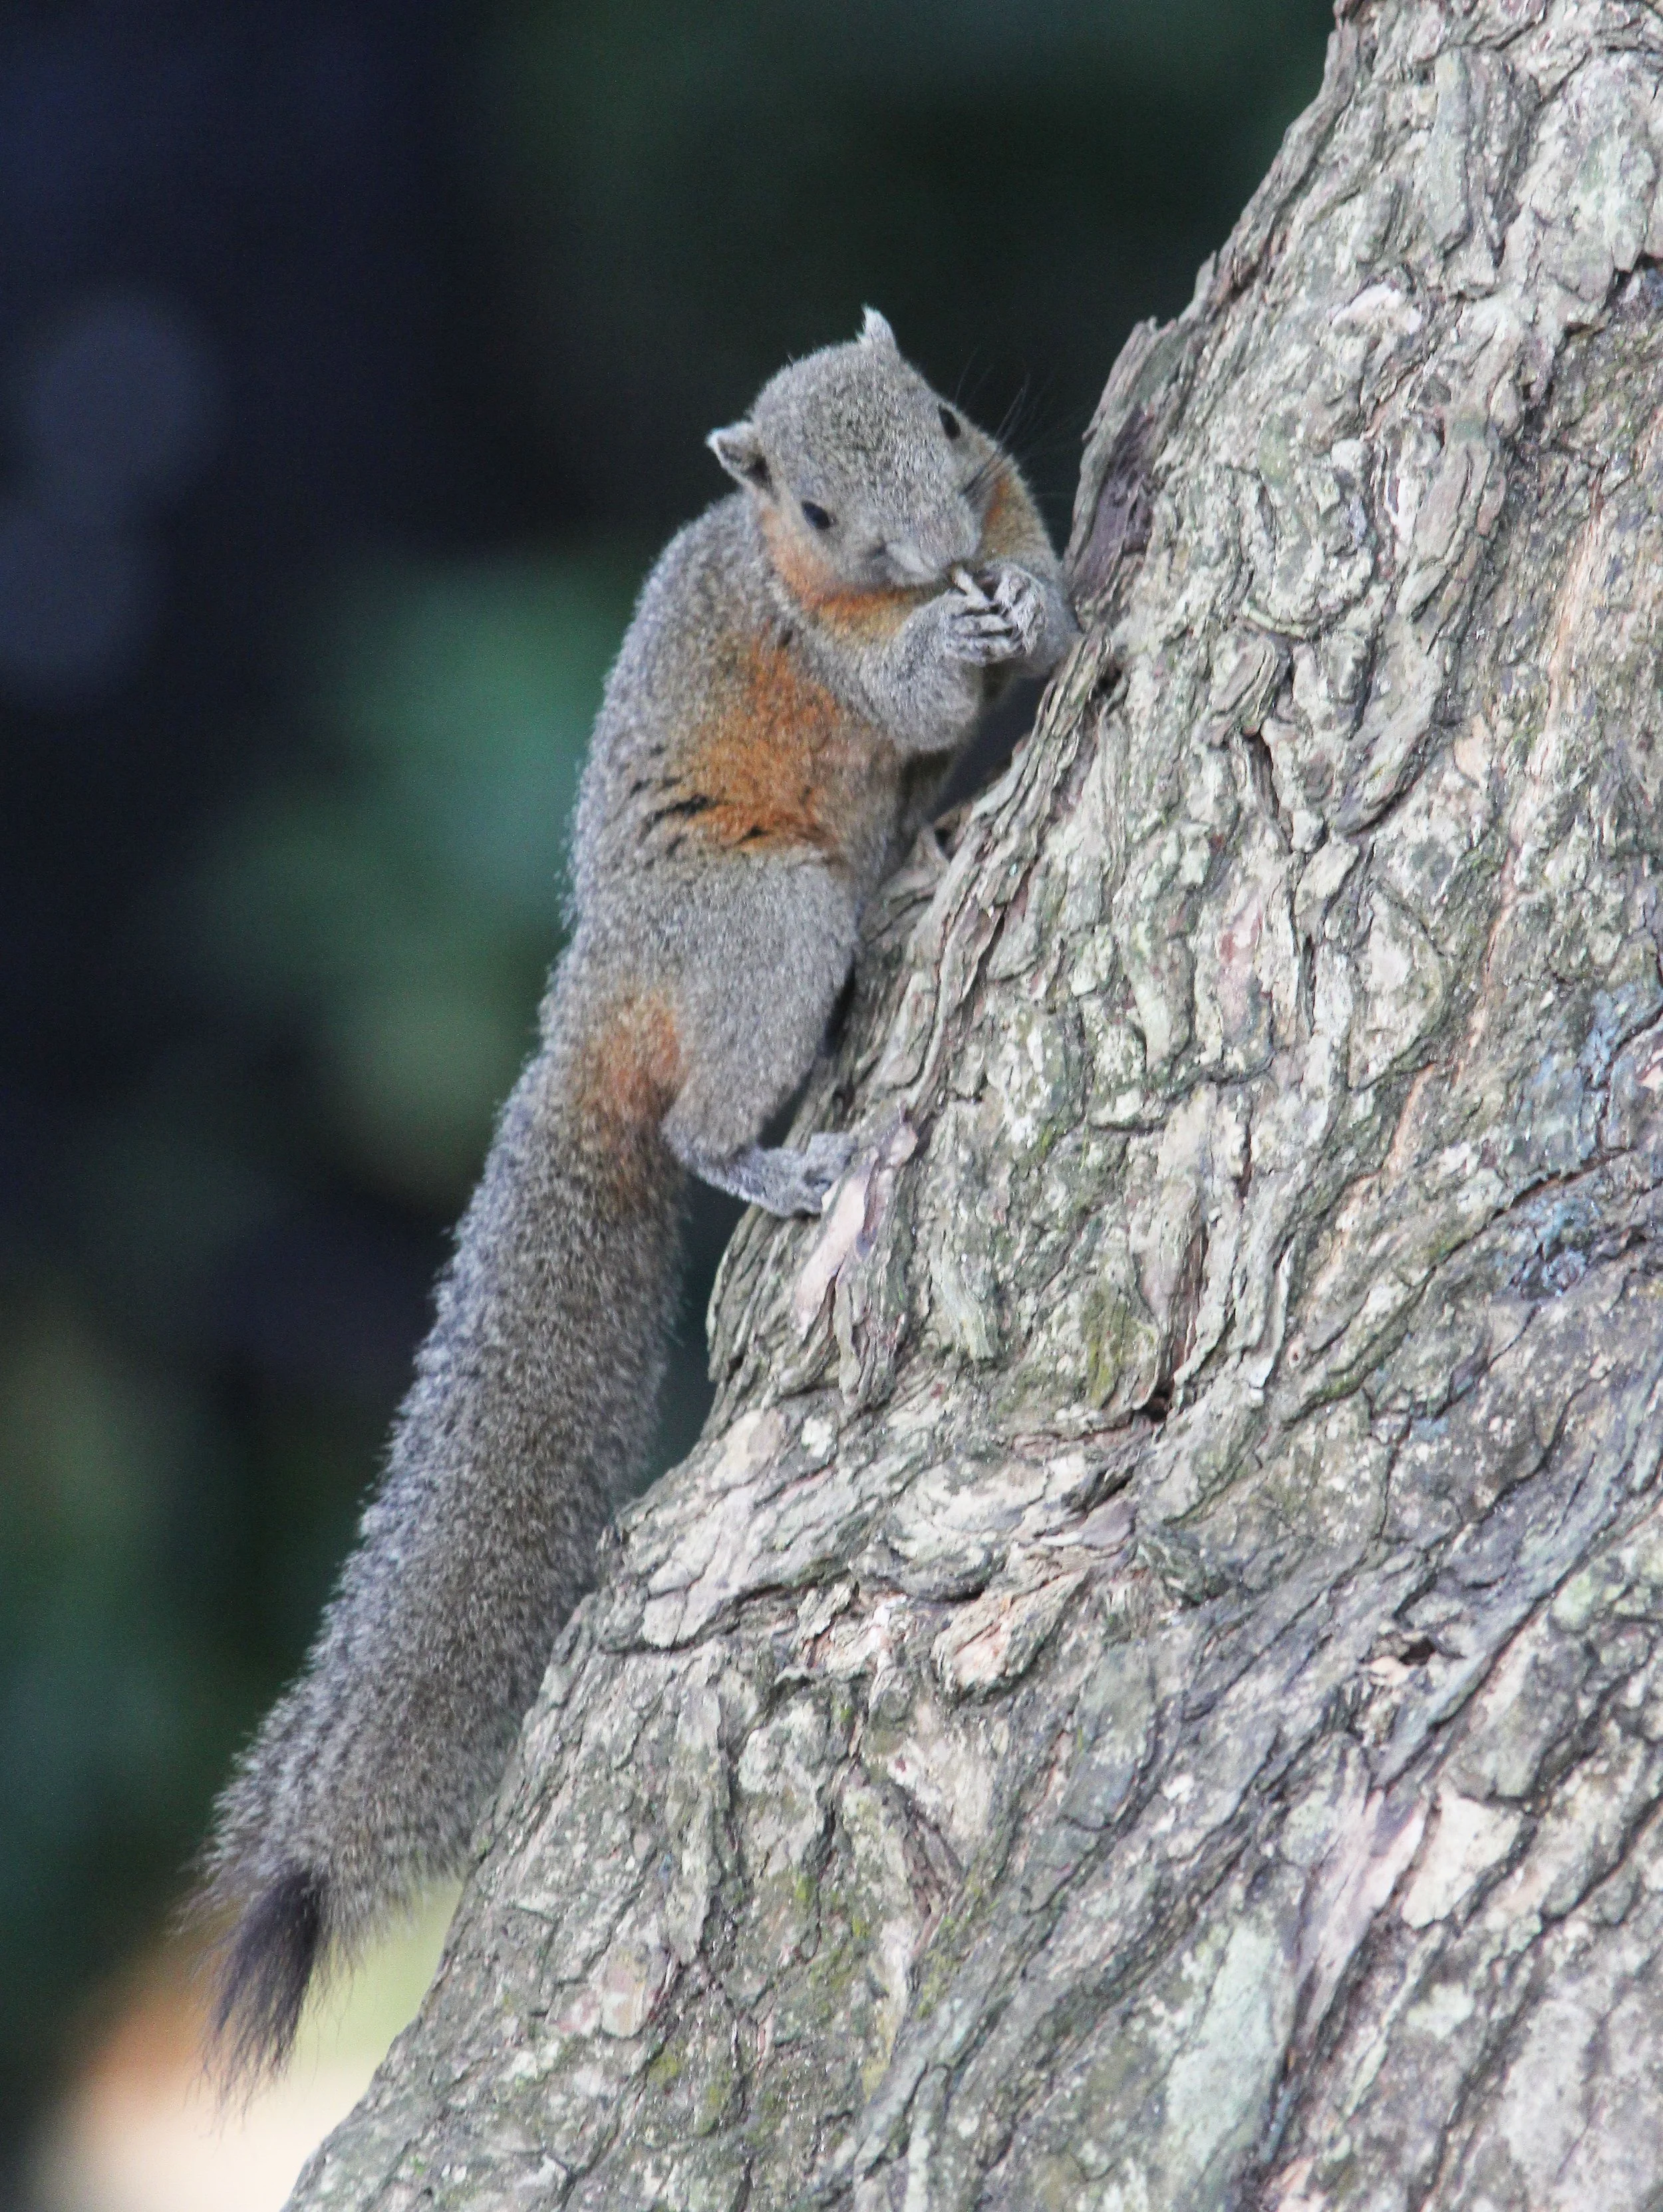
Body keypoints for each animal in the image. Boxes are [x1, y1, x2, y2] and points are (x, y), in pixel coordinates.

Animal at [199, 309, 1077, 2078]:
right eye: (815, 513)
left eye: (945, 416)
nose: (937, 552)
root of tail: (603, 994)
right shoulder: (832, 653)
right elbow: (904, 694)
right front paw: (954, 643)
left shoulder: (1006, 491)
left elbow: (1057, 584)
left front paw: (1023, 605)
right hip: (768, 927)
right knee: (695, 1124)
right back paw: (779, 1156)